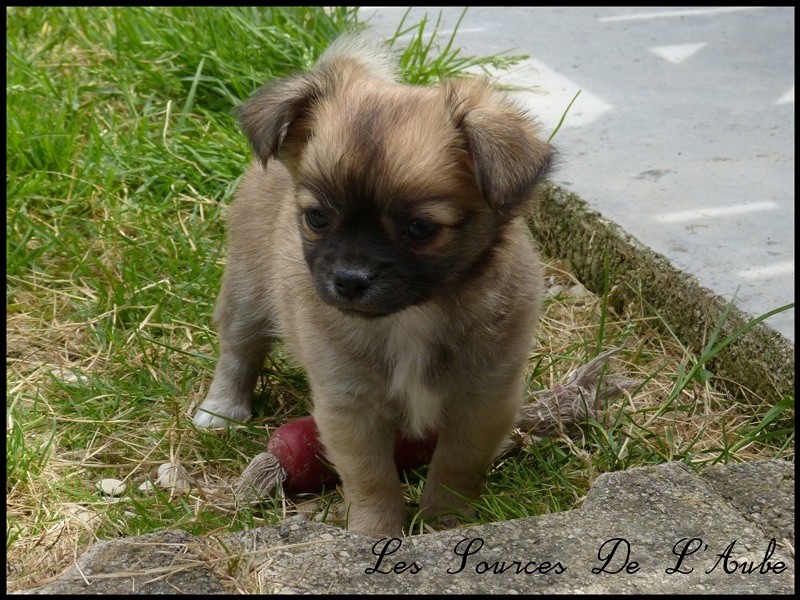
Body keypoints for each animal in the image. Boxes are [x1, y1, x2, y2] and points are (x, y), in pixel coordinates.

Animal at [197, 35, 552, 536]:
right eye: (316, 218)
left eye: (420, 228)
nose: (348, 279)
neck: (413, 316)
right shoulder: (351, 407)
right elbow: (371, 479)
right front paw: (375, 533)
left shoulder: (483, 399)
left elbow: (456, 466)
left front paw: (445, 522)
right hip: (246, 291)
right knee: (238, 351)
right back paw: (221, 409)